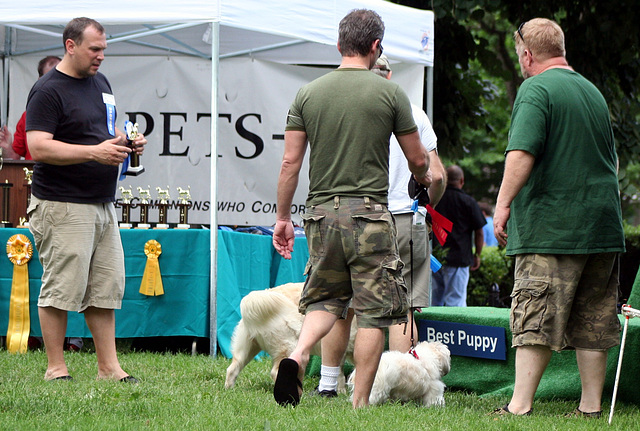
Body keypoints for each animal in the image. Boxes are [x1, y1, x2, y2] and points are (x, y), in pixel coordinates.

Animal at [224, 282, 356, 394]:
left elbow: (340, 372)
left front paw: (341, 391)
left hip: (248, 349)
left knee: (232, 369)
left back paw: (229, 389)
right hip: (290, 347)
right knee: (276, 372)